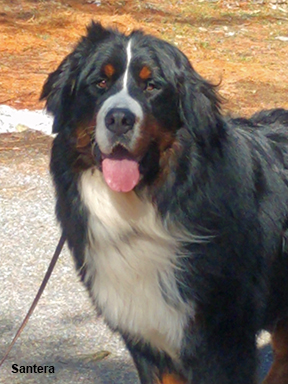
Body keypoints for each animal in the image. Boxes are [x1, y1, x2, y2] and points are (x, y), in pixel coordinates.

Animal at [40, 21, 288, 384]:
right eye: (100, 82)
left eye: (152, 85)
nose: (119, 119)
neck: (144, 207)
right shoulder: (146, 336)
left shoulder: (221, 340)